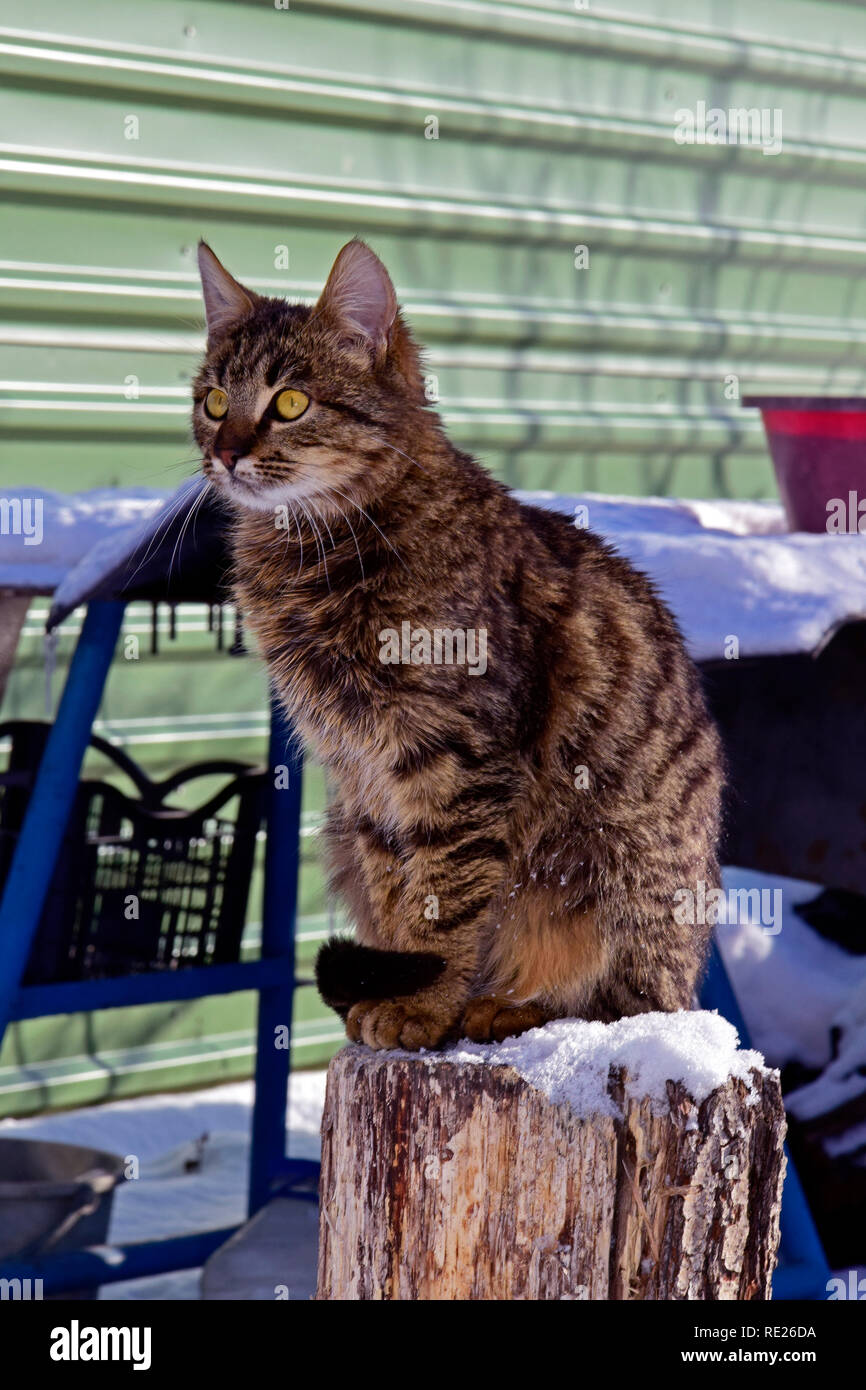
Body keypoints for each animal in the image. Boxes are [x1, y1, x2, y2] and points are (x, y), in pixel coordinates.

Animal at [194, 239, 722, 1045]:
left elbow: (446, 899)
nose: (225, 453)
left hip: (617, 873)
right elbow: (397, 894)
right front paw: (393, 987)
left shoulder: (458, 758)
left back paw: (507, 1006)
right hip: (339, 829)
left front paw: (421, 1004)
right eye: (215, 401)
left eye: (290, 403)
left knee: (619, 1002)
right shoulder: (363, 777)